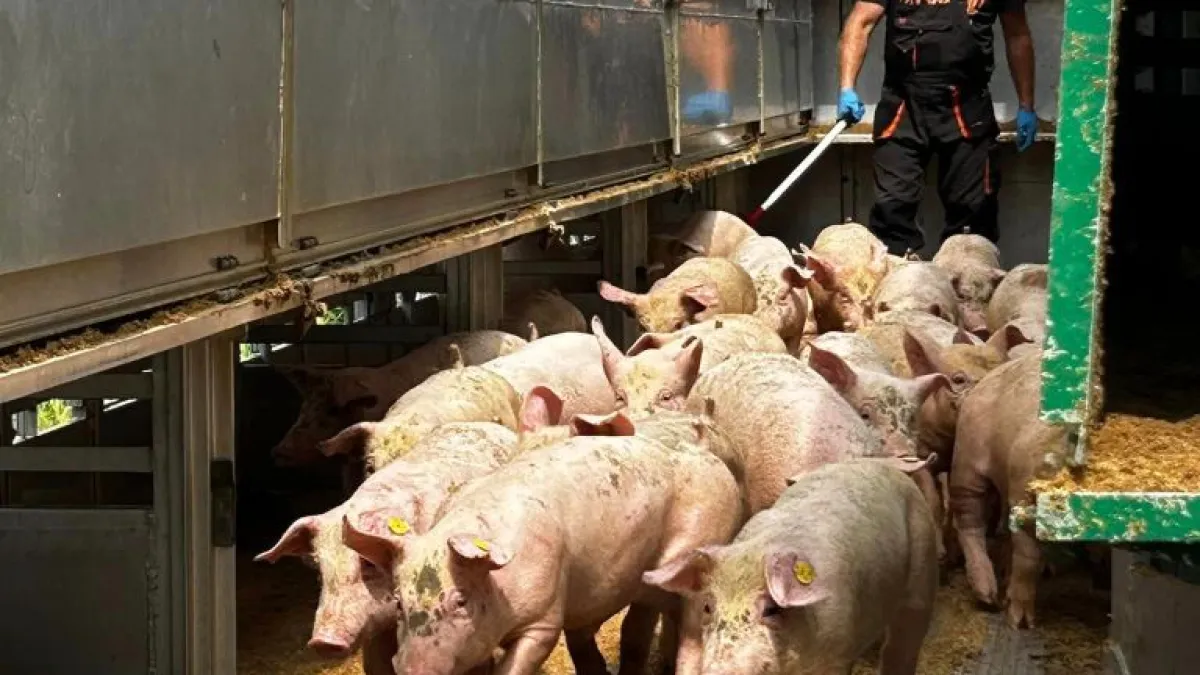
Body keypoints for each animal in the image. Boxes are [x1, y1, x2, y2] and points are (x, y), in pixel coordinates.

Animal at [643, 458, 938, 675]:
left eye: (771, 609)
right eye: (707, 607)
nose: (720, 671)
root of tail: (883, 463)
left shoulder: (836, 654)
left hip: (922, 574)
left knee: (903, 643)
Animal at [950, 351, 1069, 628]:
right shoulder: (1024, 489)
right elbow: (1027, 557)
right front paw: (1021, 623)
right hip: (966, 460)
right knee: (968, 519)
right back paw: (988, 595)